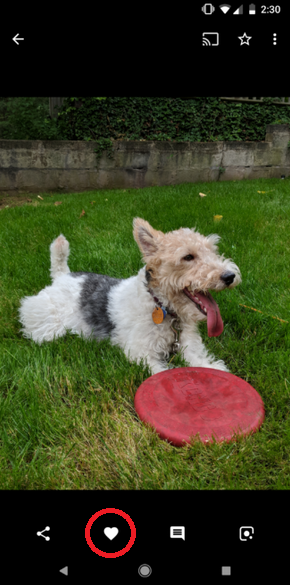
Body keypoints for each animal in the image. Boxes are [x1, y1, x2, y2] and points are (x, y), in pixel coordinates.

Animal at [19, 218, 241, 374]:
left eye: (213, 251)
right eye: (188, 257)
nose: (230, 276)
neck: (162, 306)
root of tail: (63, 275)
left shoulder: (189, 348)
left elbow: (205, 363)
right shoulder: (141, 352)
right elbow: (159, 372)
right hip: (47, 320)